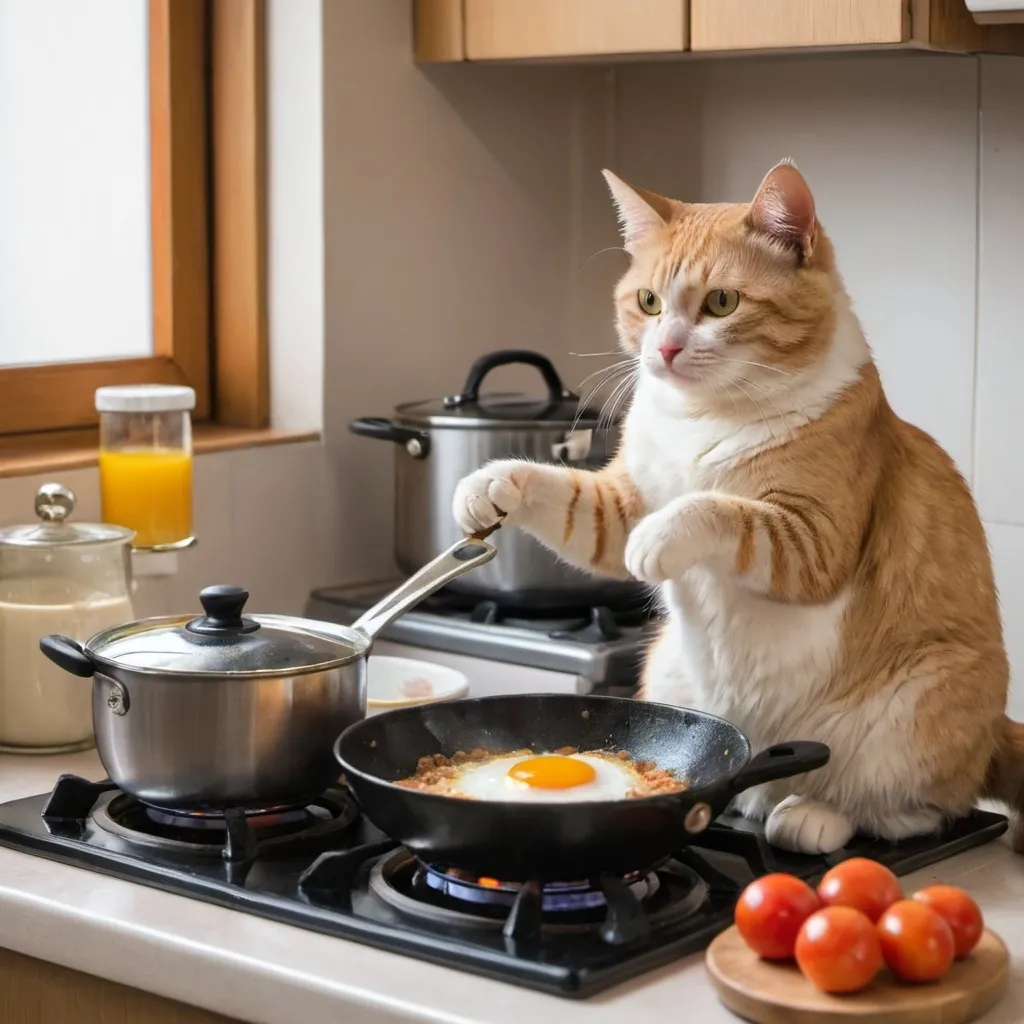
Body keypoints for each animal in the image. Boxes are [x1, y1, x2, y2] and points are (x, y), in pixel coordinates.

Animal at [456, 161, 1024, 856]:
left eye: (720, 303)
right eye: (649, 302)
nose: (666, 350)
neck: (703, 416)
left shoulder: (813, 542)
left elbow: (716, 508)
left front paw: (663, 537)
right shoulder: (619, 505)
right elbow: (566, 495)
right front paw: (489, 484)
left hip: (924, 700)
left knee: (914, 807)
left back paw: (813, 814)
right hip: (665, 668)